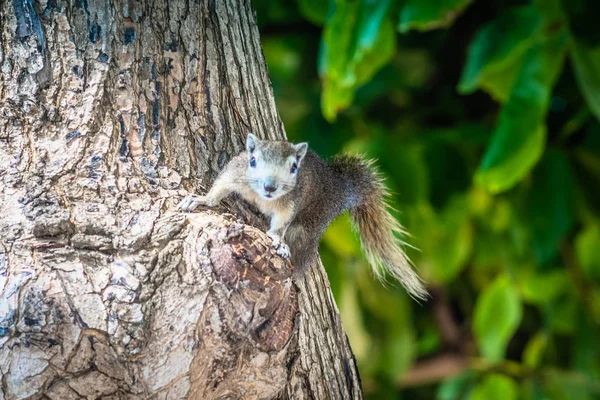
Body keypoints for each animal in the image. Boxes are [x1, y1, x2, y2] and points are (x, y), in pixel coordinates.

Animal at [178, 134, 426, 300]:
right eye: (253, 161)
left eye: (294, 167)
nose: (270, 186)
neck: (262, 198)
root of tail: (338, 187)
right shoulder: (236, 173)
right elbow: (219, 188)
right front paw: (201, 199)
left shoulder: (290, 204)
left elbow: (280, 224)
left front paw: (277, 239)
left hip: (313, 220)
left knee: (301, 252)